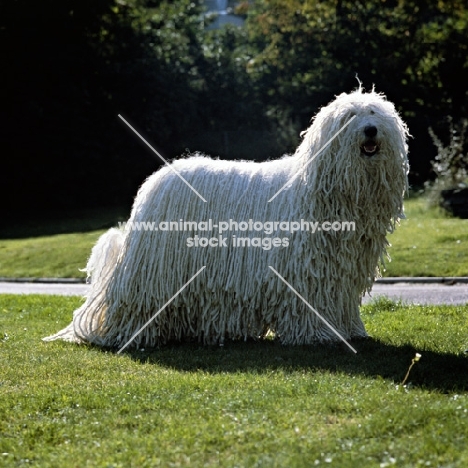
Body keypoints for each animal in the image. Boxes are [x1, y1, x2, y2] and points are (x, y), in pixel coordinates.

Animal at [44, 88, 410, 350]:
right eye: (350, 115)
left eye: (374, 112)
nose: (371, 130)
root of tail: (157, 179)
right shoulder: (304, 273)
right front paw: (317, 335)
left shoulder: (341, 274)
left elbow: (342, 302)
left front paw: (350, 331)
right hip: (154, 272)